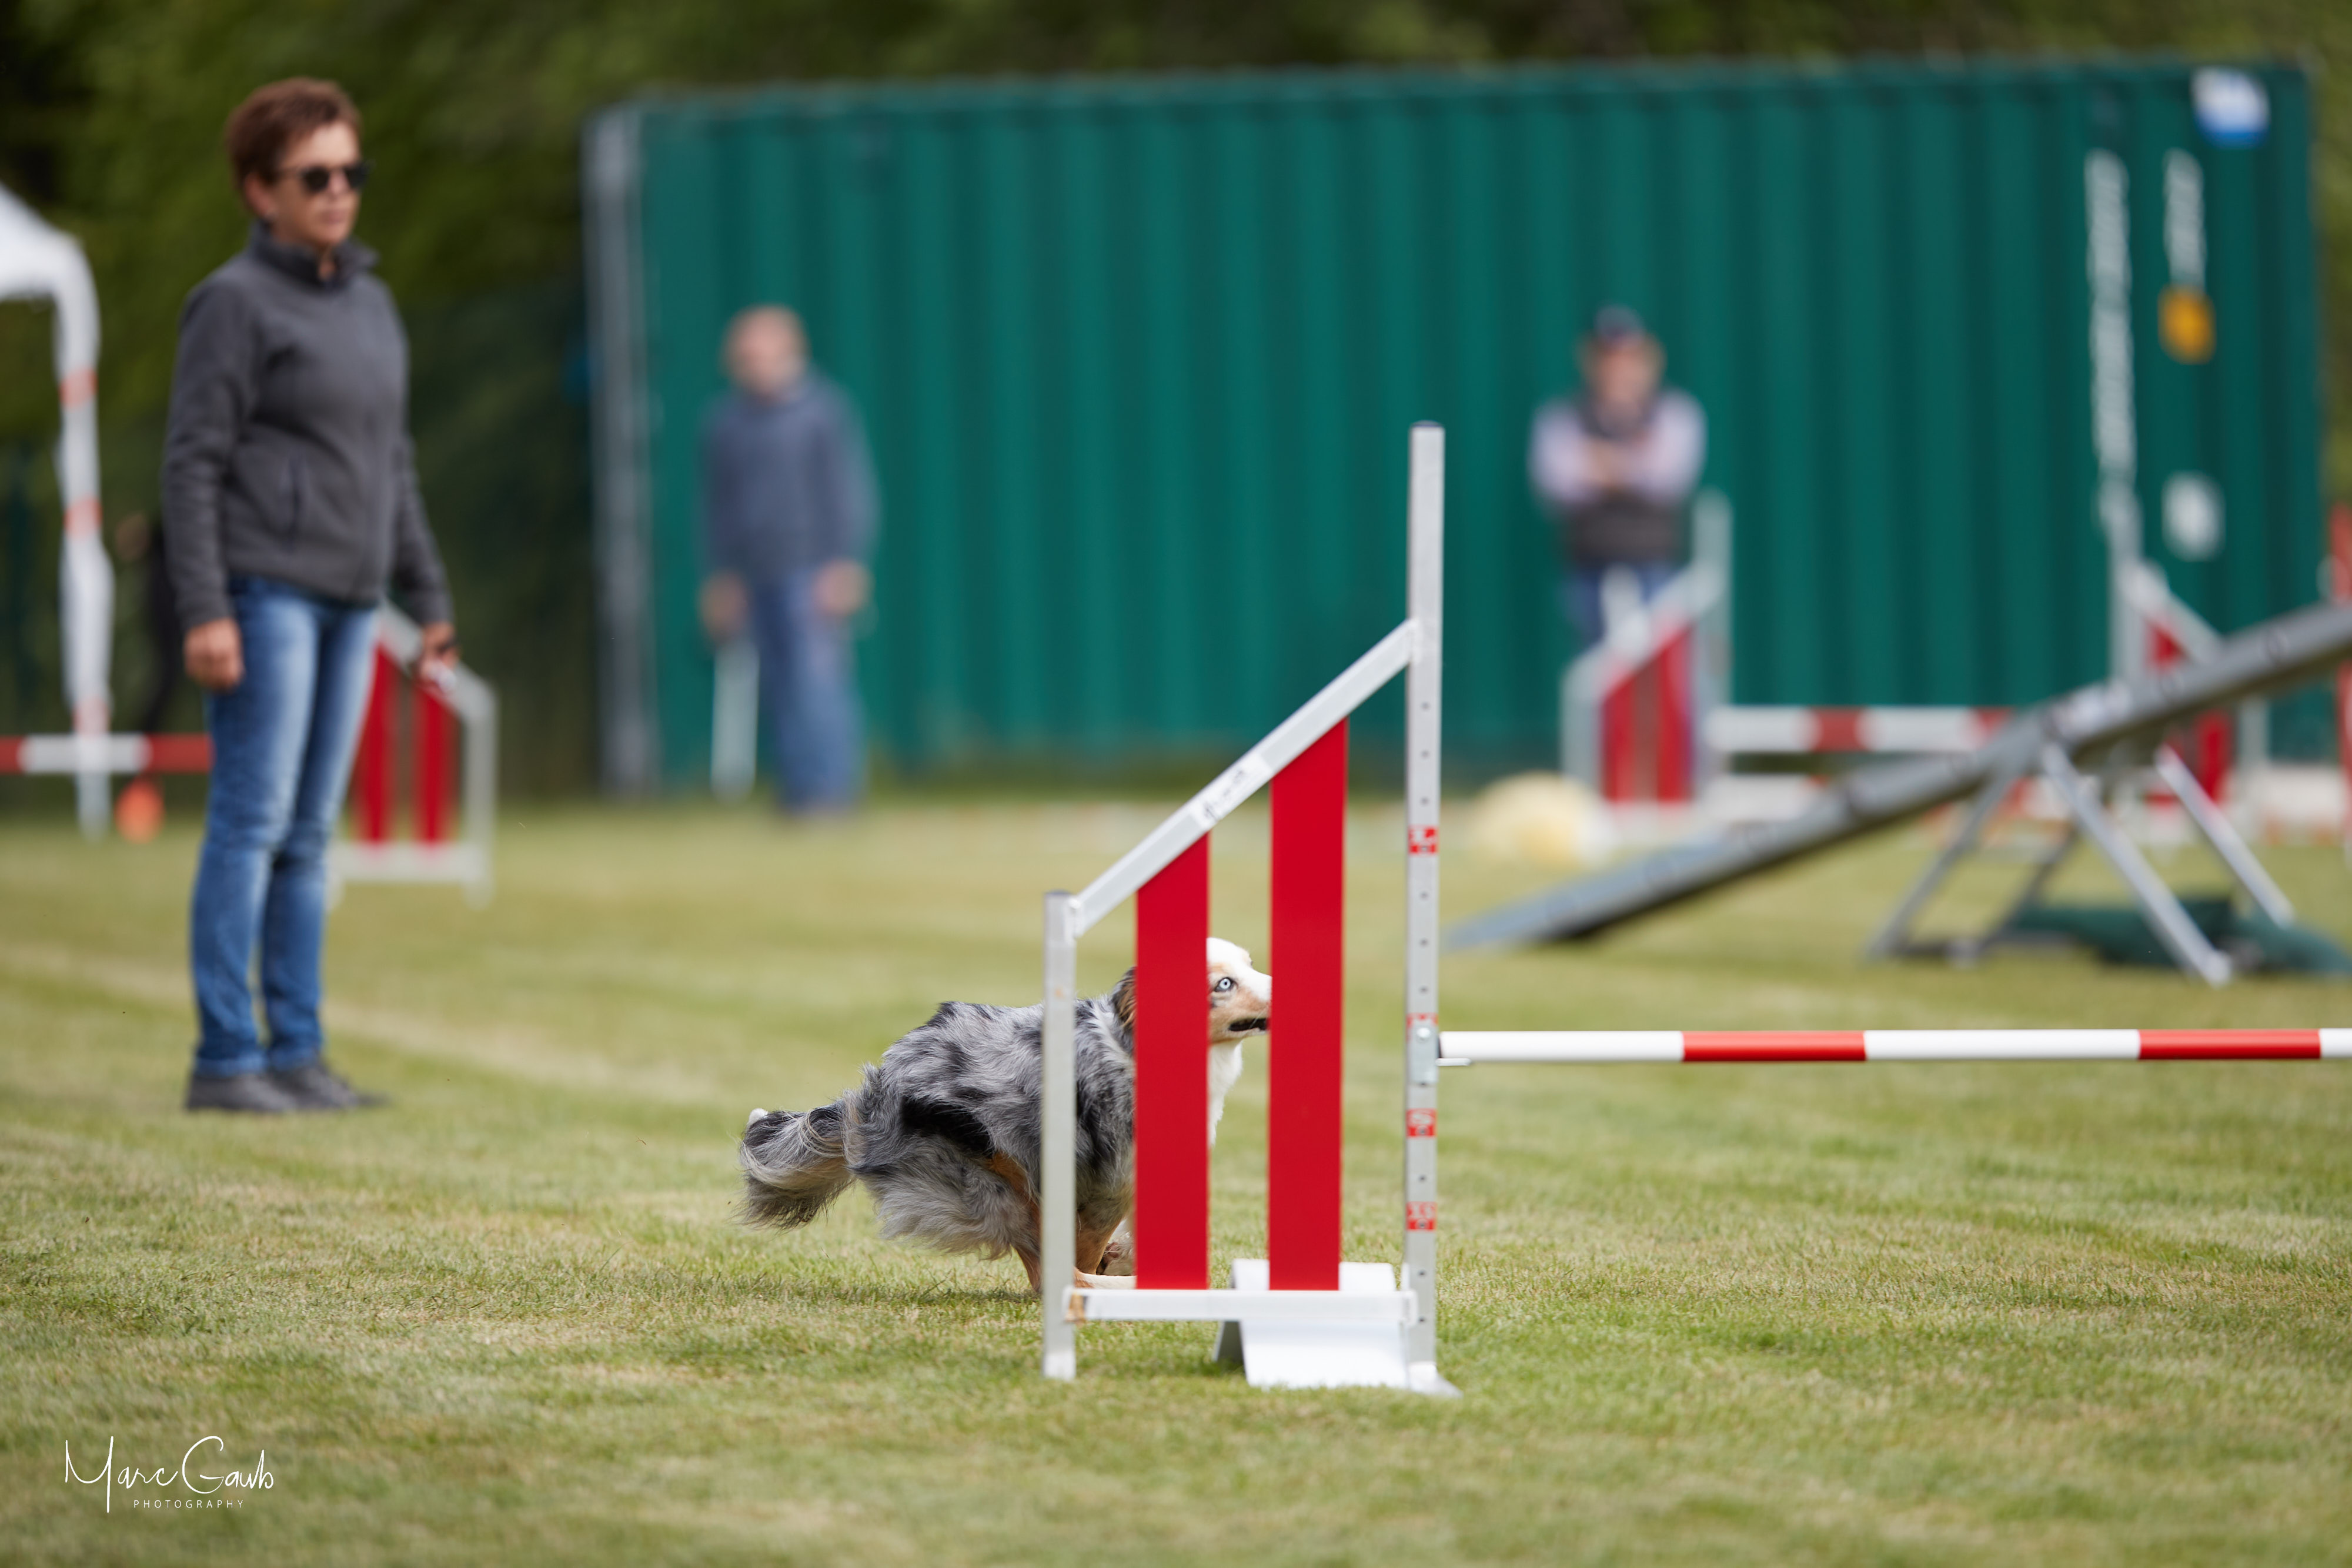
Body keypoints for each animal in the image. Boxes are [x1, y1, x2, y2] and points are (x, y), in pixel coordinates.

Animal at [738, 937, 1271, 1294]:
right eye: (1224, 984)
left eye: (1250, 965)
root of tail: (879, 1084)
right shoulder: (1110, 1180)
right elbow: (1089, 1240)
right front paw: (1108, 1268)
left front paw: (1122, 1258)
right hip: (991, 1168)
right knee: (1044, 1266)